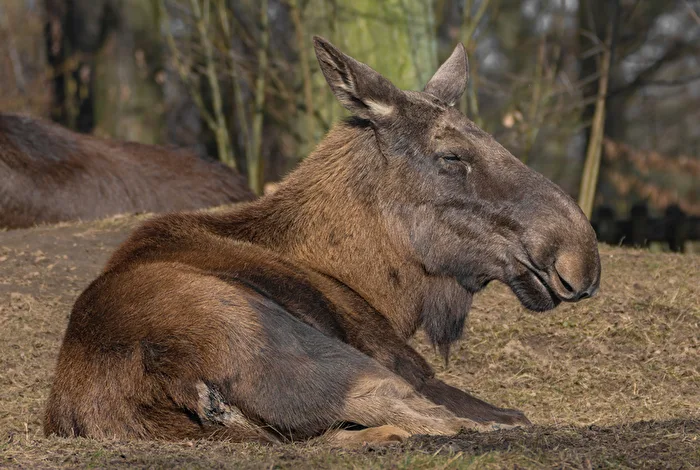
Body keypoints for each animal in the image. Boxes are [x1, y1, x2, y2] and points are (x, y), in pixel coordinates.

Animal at [44, 37, 601, 447]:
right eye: (451, 155)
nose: (580, 256)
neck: (383, 288)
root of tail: (167, 370)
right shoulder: (404, 361)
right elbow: (512, 413)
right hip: (320, 355)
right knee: (419, 412)